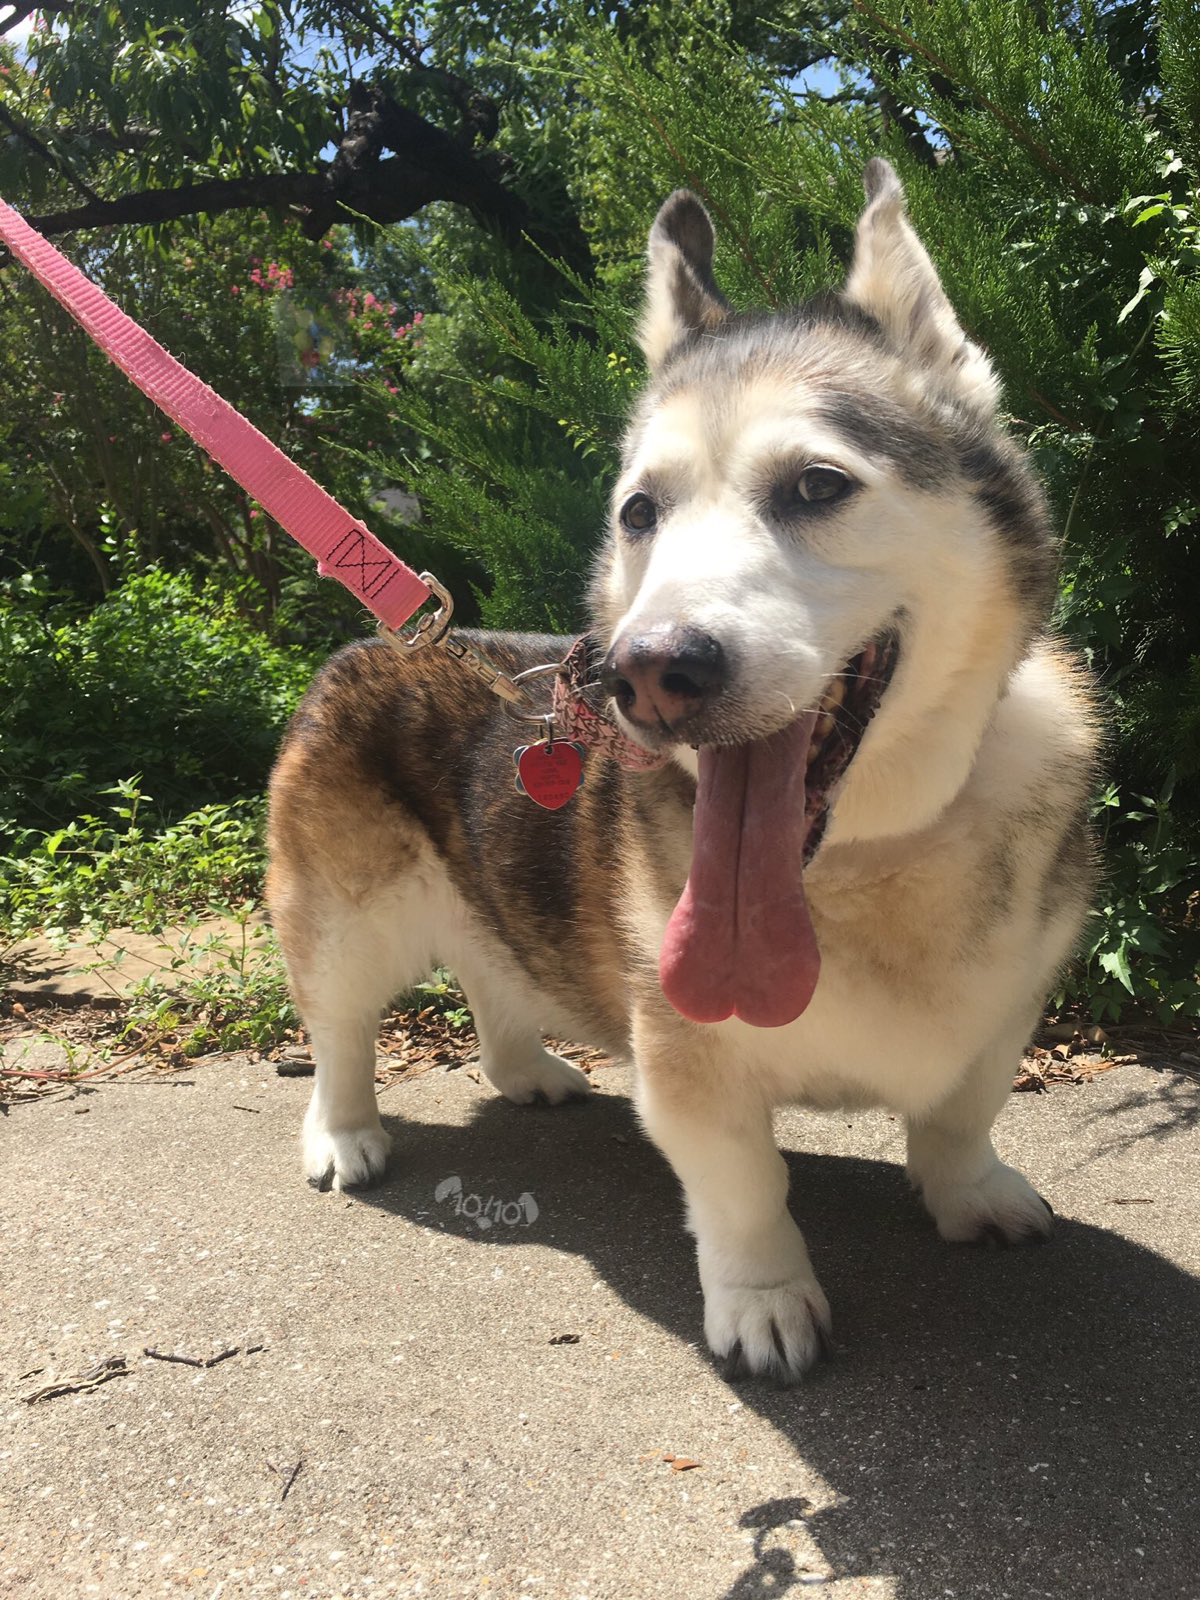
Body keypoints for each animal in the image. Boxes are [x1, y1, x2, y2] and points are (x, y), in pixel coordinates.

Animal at [267, 165, 1106, 1388]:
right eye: (638, 513)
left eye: (815, 485)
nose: (644, 672)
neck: (866, 852)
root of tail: (383, 639)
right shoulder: (686, 1061)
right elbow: (745, 1184)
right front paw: (766, 1301)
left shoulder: (1006, 1005)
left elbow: (960, 1111)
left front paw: (970, 1193)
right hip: (342, 917)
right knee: (337, 1026)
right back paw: (344, 1134)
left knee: (491, 972)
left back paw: (526, 1070)